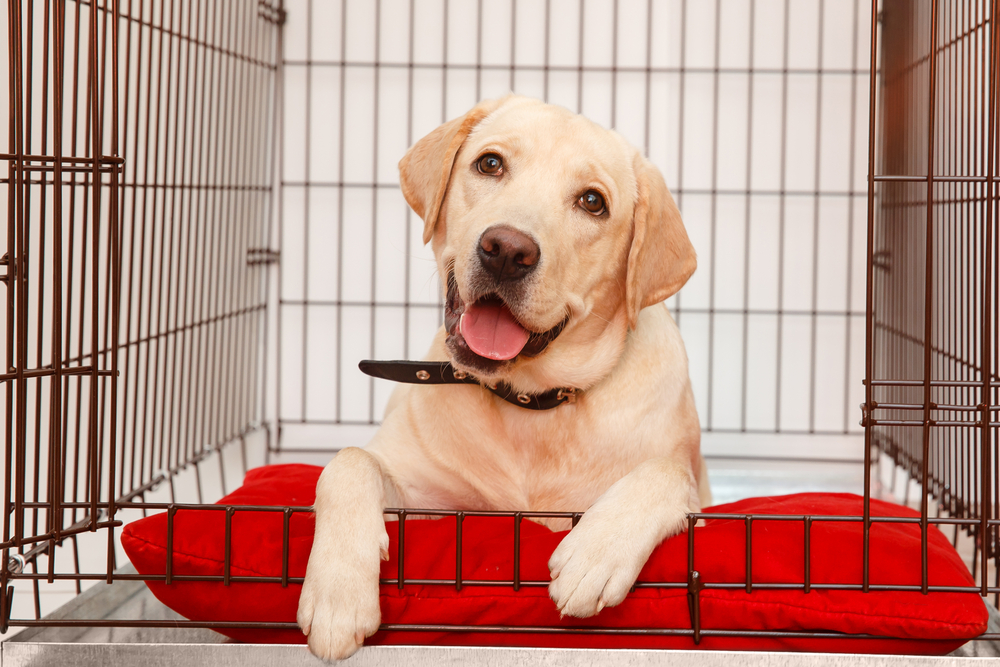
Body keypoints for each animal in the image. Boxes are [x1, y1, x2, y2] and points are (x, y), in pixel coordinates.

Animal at [296, 95, 712, 664]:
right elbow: (348, 462)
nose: (508, 250)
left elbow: (667, 473)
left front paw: (596, 551)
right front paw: (337, 593)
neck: (529, 403)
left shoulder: (702, 507)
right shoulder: (427, 502)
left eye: (593, 202)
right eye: (490, 163)